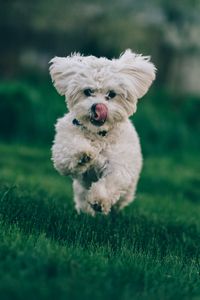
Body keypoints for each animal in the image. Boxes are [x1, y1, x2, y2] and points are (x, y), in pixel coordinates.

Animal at [49, 49, 155, 216]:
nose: (97, 107)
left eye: (111, 94)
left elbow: (111, 181)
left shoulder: (119, 165)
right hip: (80, 189)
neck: (98, 134)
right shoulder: (63, 147)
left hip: (128, 191)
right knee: (82, 199)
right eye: (88, 91)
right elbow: (69, 152)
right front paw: (83, 154)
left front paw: (100, 200)